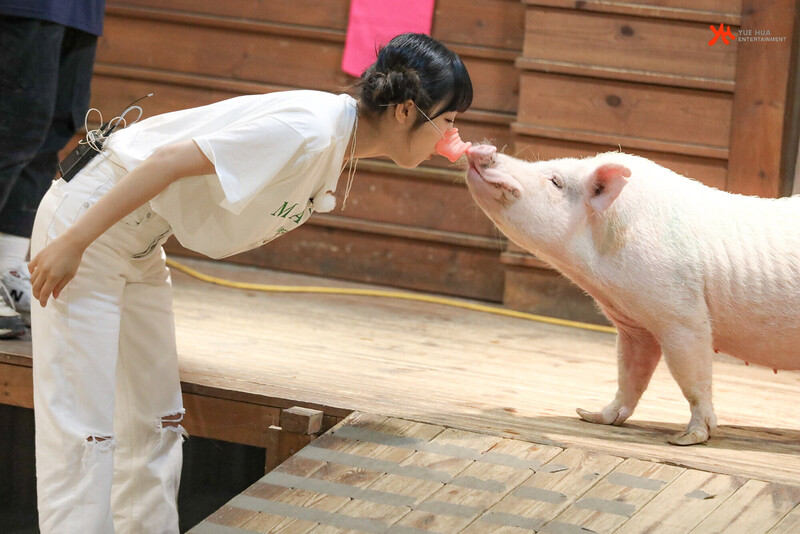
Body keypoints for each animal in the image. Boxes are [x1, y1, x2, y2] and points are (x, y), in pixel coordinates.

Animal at [466, 144, 800, 446]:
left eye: (555, 181)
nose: (481, 149)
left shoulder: (682, 315)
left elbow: (692, 377)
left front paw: (686, 438)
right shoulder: (634, 324)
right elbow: (629, 372)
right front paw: (590, 415)